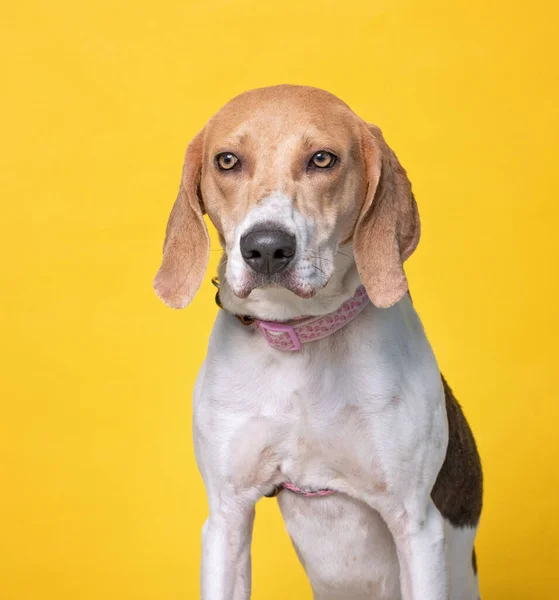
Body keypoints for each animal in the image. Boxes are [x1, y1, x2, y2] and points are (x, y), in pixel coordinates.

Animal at [155, 84, 484, 600]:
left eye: (322, 159)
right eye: (226, 160)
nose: (267, 247)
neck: (300, 339)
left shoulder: (416, 524)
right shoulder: (227, 516)